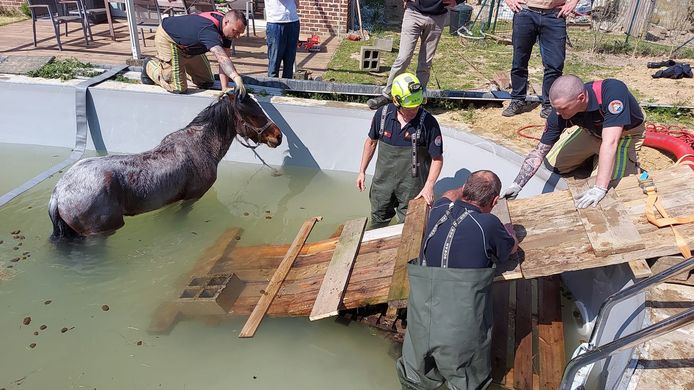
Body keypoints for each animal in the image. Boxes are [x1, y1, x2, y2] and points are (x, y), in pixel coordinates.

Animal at [48, 93, 282, 241]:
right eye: (253, 114)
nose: (278, 136)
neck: (201, 145)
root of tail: (59, 194)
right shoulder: (191, 198)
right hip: (100, 232)